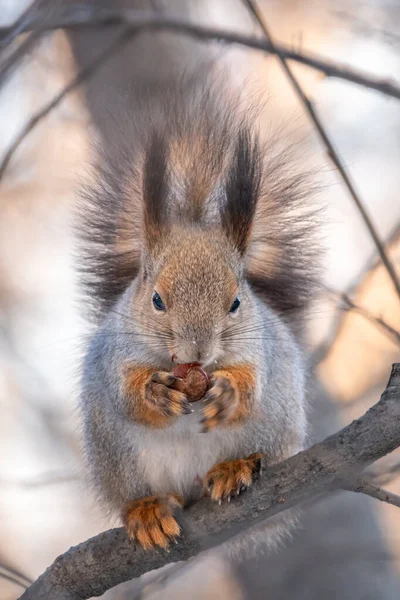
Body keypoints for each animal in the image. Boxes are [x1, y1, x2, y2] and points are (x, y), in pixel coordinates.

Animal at [76, 77, 318, 552]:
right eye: (155, 299)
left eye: (236, 303)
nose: (198, 351)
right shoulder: (115, 354)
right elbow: (127, 395)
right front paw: (153, 392)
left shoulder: (258, 348)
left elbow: (251, 383)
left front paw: (227, 392)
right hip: (118, 458)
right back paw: (147, 511)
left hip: (275, 428)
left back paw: (235, 468)